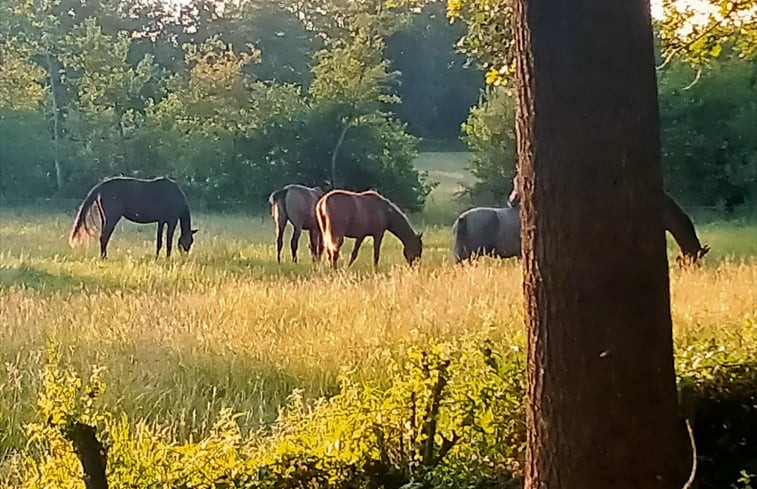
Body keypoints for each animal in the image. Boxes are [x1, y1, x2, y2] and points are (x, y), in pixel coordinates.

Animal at [70, 176, 198, 260]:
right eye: (188, 241)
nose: (185, 256)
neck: (176, 197)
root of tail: (101, 186)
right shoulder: (172, 221)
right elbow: (169, 241)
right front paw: (167, 258)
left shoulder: (161, 221)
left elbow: (159, 241)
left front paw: (157, 257)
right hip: (112, 219)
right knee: (104, 237)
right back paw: (104, 257)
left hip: (105, 219)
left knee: (103, 237)